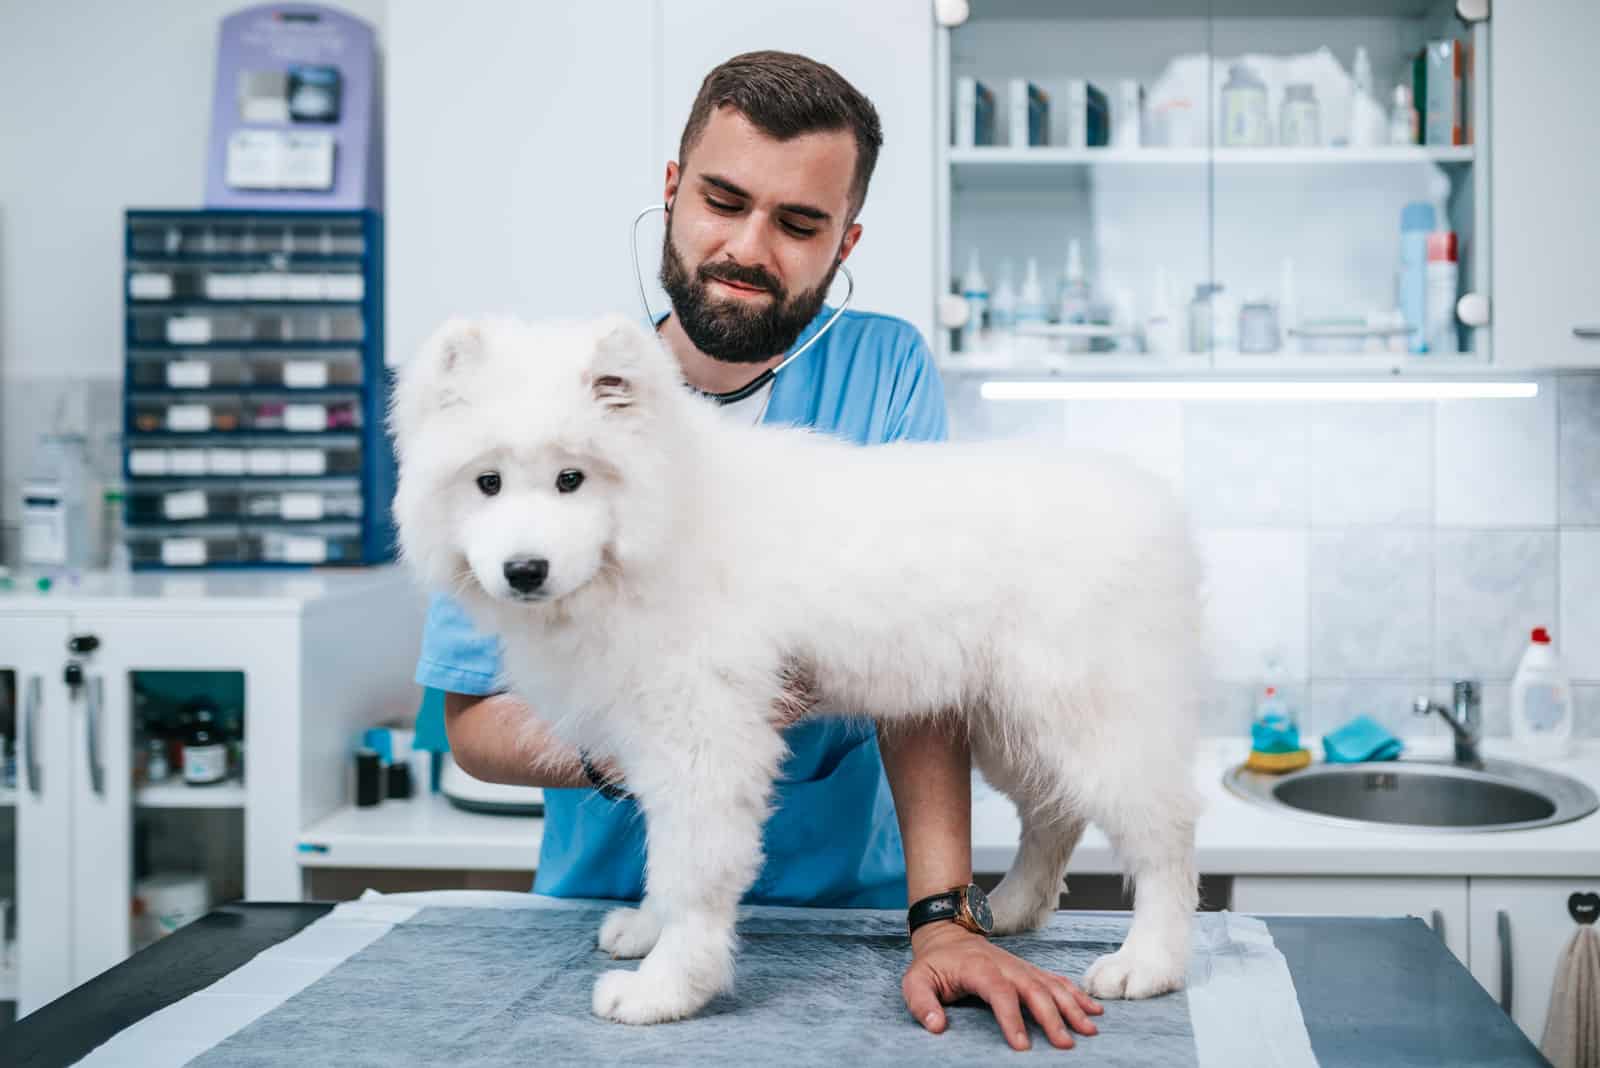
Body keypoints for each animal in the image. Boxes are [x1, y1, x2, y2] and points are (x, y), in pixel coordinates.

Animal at [390, 314, 1203, 1023]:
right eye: (487, 483)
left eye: (571, 479)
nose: (524, 571)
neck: (664, 524)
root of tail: (1158, 507)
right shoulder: (649, 738)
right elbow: (662, 852)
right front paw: (648, 931)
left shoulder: (704, 733)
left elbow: (693, 868)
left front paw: (666, 989)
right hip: (1015, 723)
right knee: (1053, 817)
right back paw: (1009, 908)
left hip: (1091, 715)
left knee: (1164, 836)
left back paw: (1149, 962)